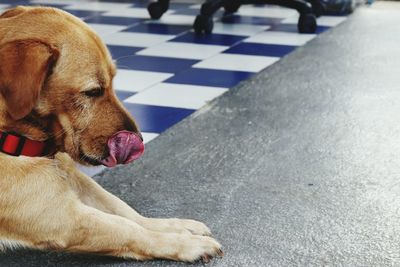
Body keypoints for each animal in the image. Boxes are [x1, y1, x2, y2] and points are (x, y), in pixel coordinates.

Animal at [0, 6, 222, 264]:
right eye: (93, 91)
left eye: (113, 81)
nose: (139, 139)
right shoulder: (61, 218)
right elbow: (128, 229)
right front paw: (185, 244)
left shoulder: (75, 181)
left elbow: (124, 210)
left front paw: (174, 226)